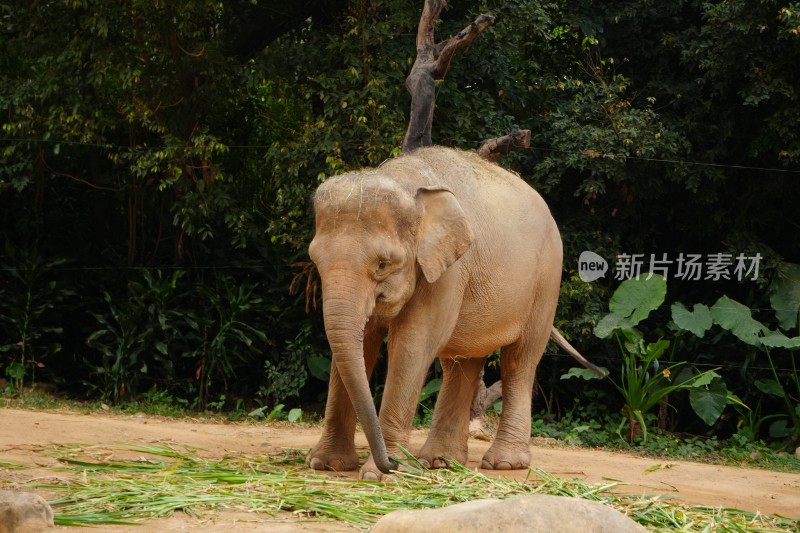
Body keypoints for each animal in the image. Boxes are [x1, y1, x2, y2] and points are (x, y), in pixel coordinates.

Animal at [306, 144, 580, 478]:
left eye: (383, 264)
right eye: (316, 261)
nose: (391, 464)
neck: (403, 180)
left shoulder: (448, 270)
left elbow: (412, 344)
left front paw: (382, 474)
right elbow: (362, 343)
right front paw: (324, 464)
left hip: (546, 283)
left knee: (519, 361)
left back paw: (503, 463)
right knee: (462, 362)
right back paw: (440, 461)